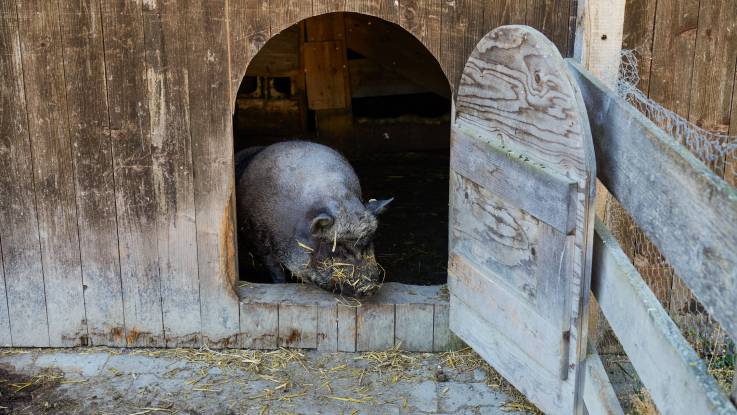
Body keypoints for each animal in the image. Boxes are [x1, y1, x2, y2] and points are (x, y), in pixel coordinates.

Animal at [239, 141, 394, 298]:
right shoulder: (256, 239)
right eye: (337, 248)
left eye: (368, 242)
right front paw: (282, 284)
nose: (369, 288)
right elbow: (275, 269)